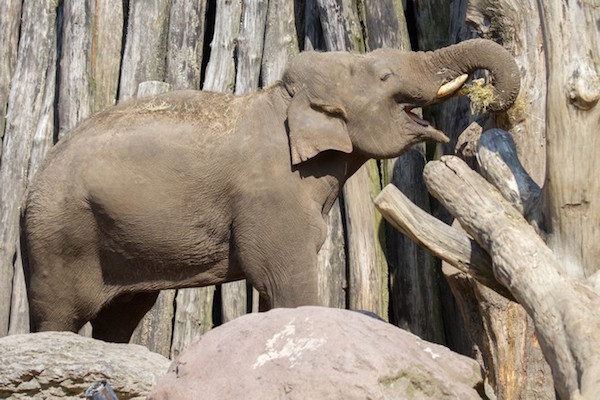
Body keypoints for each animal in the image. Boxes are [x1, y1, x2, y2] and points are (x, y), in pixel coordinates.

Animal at [22, 39, 520, 342]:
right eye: (384, 77)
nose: (485, 93)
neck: (283, 97)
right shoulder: (271, 197)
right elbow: (285, 283)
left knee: (122, 314)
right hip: (59, 238)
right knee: (58, 317)